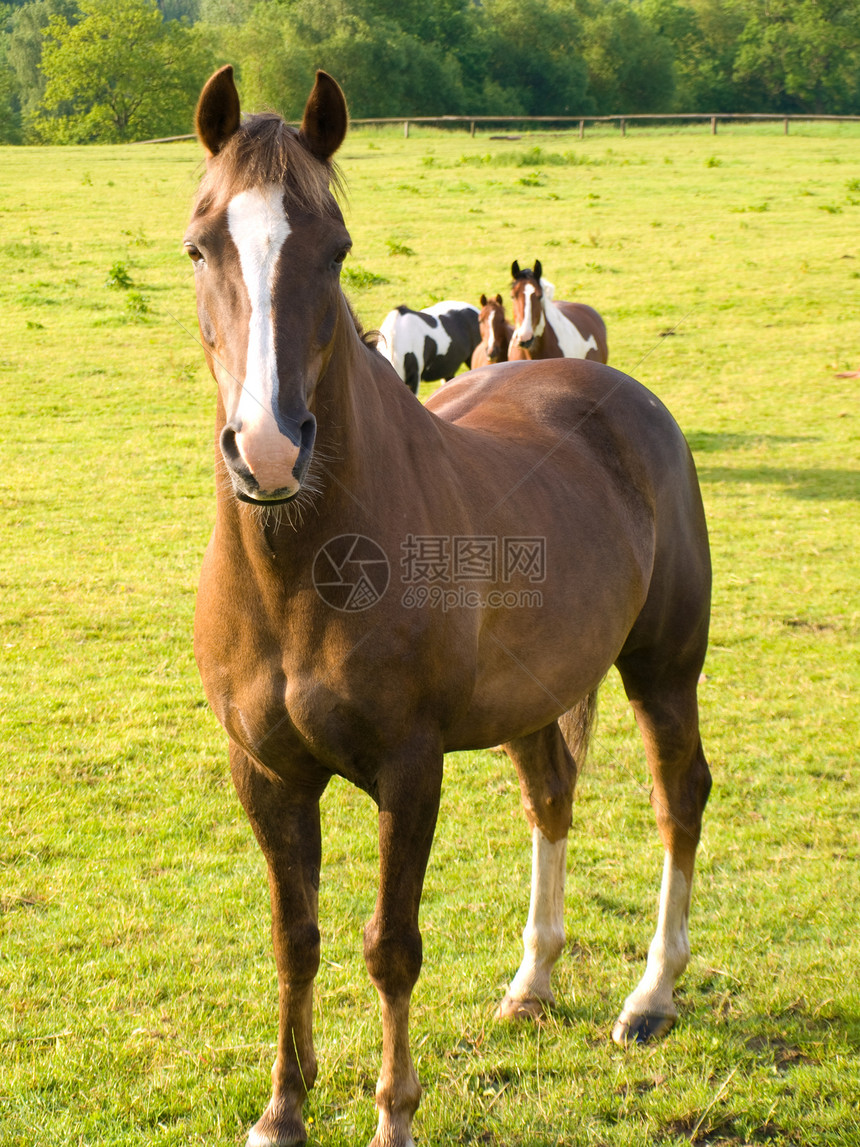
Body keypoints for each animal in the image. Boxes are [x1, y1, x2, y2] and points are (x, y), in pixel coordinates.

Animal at [186, 67, 715, 1147]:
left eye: (335, 247)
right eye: (200, 242)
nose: (269, 449)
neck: (304, 573)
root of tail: (621, 392)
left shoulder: (408, 766)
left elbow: (389, 944)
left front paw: (393, 1111)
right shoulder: (265, 773)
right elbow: (294, 937)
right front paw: (282, 1108)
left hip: (662, 670)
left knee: (677, 797)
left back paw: (650, 996)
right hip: (535, 698)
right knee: (551, 797)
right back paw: (532, 980)